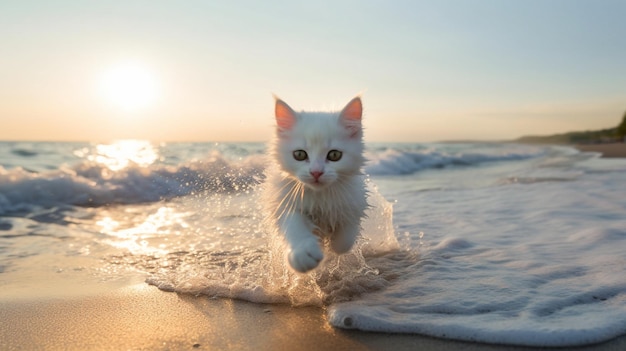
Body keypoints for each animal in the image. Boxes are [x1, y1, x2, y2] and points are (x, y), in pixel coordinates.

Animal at [262, 97, 368, 276]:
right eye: (299, 154)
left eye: (334, 155)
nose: (316, 172)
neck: (320, 198)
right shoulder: (285, 201)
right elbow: (295, 227)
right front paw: (303, 255)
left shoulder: (355, 199)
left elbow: (345, 239)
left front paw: (334, 244)